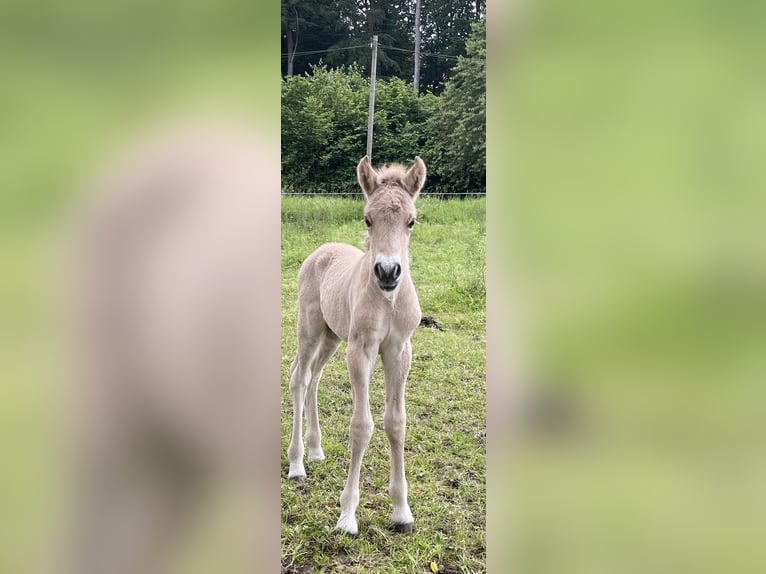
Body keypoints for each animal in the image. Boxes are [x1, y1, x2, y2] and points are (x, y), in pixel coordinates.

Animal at [292, 156, 428, 536]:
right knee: (298, 378)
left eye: (411, 220)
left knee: (314, 378)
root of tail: (322, 249)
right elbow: (362, 426)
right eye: (368, 218)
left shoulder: (400, 351)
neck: (387, 301)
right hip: (310, 329)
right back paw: (296, 465)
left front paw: (402, 512)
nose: (388, 272)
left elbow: (396, 423)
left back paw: (316, 450)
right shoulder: (361, 350)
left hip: (332, 337)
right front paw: (347, 516)